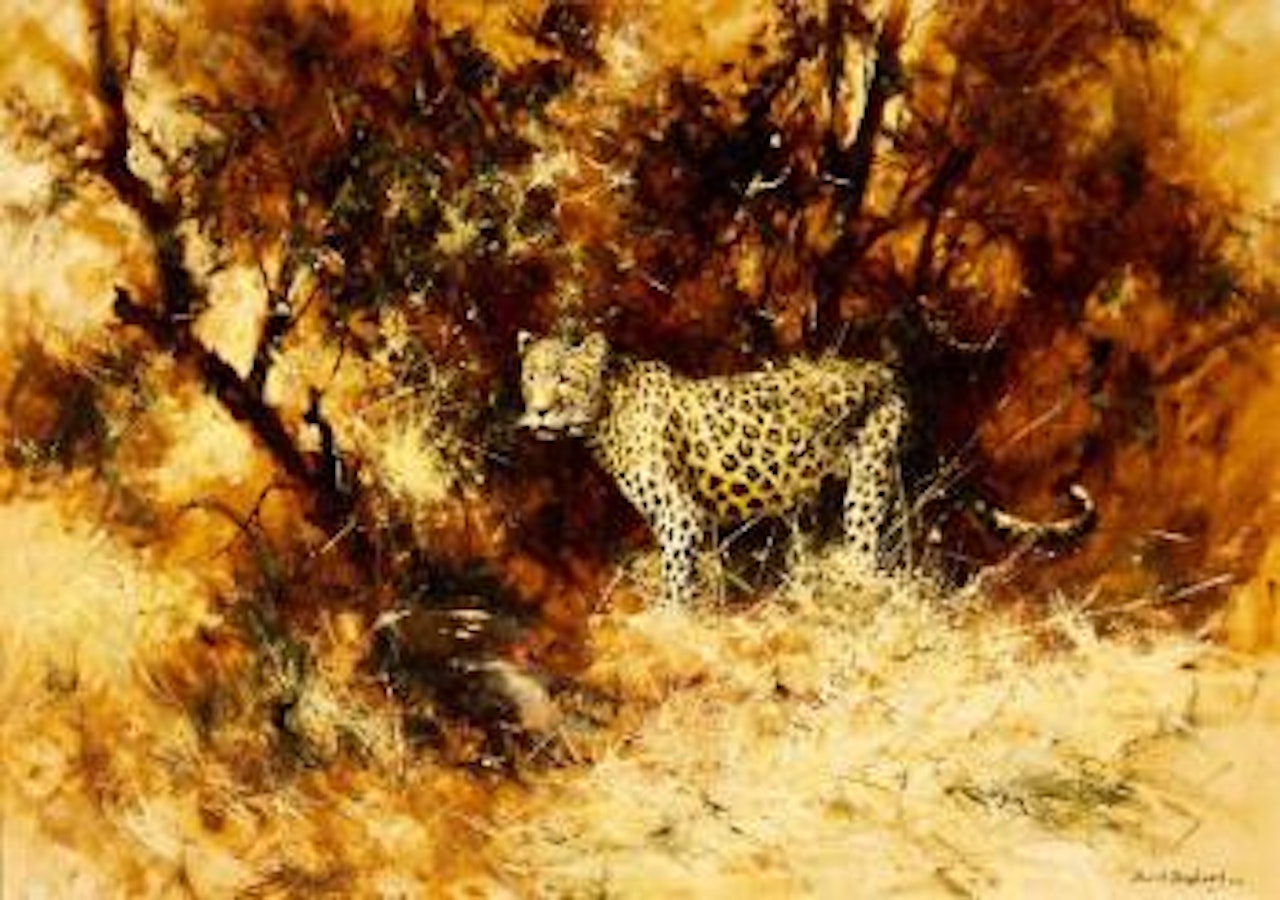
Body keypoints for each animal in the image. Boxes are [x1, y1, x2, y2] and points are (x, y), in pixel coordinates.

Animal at [517, 329, 1095, 604]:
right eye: (530, 377)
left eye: (564, 378)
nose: (538, 410)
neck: (602, 416)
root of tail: (897, 377)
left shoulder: (680, 517)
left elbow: (677, 578)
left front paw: (671, 624)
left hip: (868, 487)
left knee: (868, 557)